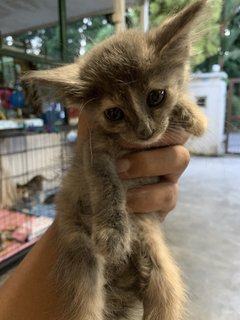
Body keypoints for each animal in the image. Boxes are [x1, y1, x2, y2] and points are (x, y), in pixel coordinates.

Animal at [23, 1, 208, 318]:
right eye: (114, 113)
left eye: (156, 96)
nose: (145, 131)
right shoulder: (94, 152)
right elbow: (107, 185)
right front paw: (112, 232)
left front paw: (191, 114)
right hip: (82, 258)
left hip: (161, 272)